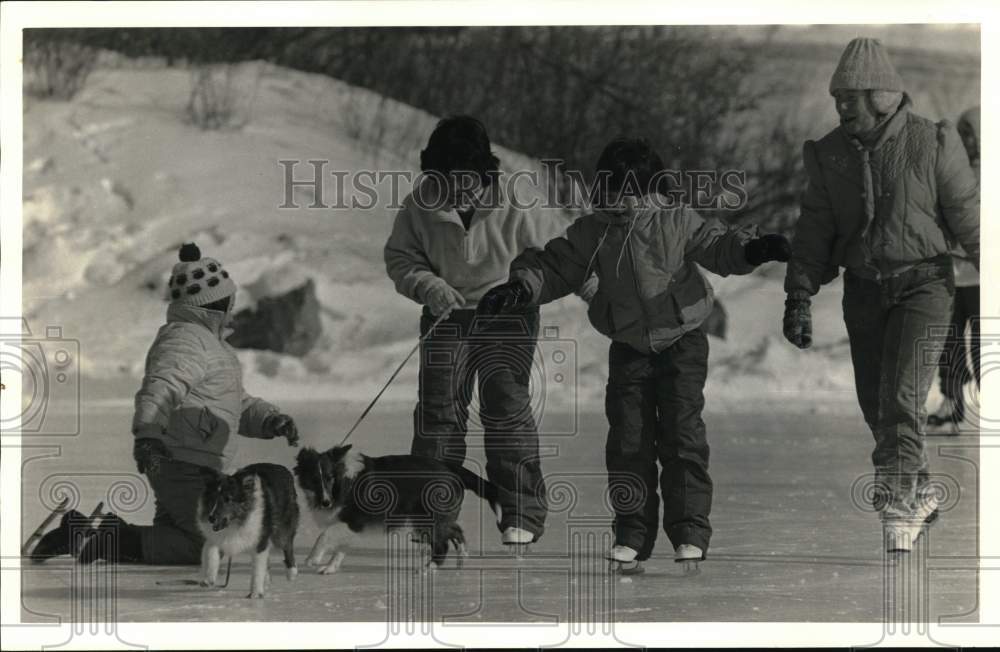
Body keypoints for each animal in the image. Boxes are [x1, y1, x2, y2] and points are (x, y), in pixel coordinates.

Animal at [294, 446, 500, 572]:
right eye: (314, 479)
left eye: (329, 477)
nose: (325, 503)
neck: (343, 480)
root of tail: (451, 468)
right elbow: (340, 547)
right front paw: (330, 567)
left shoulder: (354, 520)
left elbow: (325, 535)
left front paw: (312, 559)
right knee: (455, 530)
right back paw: (461, 559)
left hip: (427, 517)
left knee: (443, 543)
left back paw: (428, 568)